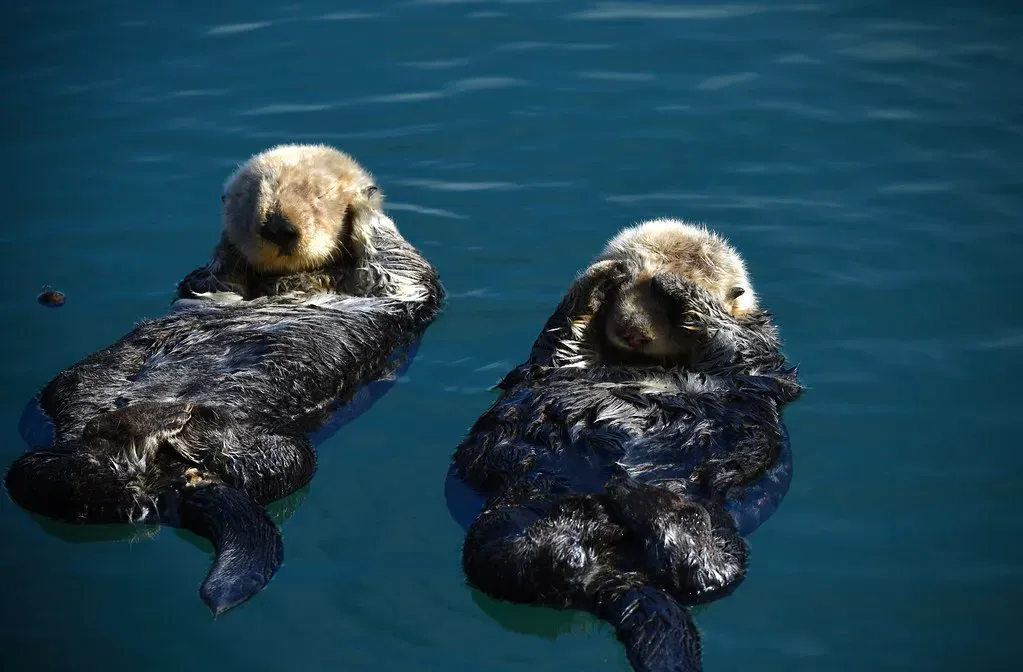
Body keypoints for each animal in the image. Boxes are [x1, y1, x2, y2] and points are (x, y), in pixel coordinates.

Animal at [4, 144, 444, 616]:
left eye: (319, 196)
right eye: (254, 198)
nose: (280, 226)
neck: (296, 279)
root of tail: (157, 481)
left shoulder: (403, 286)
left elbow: (399, 267)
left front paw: (364, 206)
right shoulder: (207, 283)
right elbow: (209, 279)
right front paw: (228, 246)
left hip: (282, 452)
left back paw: (169, 422)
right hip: (58, 404)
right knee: (46, 474)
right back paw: (138, 421)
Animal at [450, 218, 802, 671]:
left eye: (667, 311)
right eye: (624, 293)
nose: (634, 331)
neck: (647, 366)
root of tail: (611, 568)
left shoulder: (755, 350)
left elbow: (730, 338)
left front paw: (681, 286)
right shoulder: (562, 359)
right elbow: (564, 336)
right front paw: (602, 274)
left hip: (717, 524)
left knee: (709, 568)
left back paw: (637, 498)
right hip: (506, 515)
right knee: (520, 559)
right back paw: (593, 515)